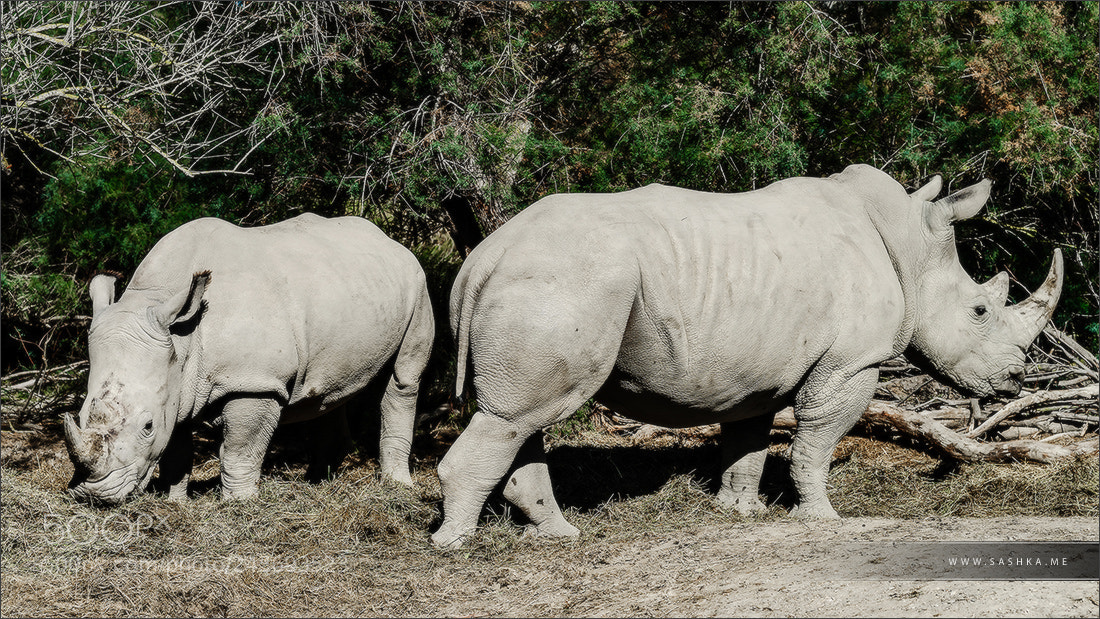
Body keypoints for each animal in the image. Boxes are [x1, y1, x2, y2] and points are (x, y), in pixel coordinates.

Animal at [64, 213, 435, 505]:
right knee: (330, 391)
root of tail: (389, 240)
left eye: (147, 426)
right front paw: (175, 501)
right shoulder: (176, 384)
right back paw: (316, 484)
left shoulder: (256, 381)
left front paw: (239, 503)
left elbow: (240, 449)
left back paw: (396, 487)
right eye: (80, 415)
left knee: (403, 379)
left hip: (417, 283)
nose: (95, 495)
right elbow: (176, 448)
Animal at [431, 164, 1063, 547]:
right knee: (518, 415)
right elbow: (815, 441)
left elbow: (749, 442)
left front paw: (740, 512)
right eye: (979, 312)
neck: (908, 246)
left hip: (546, 283)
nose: (1014, 380)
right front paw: (822, 518)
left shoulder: (758, 368)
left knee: (517, 417)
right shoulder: (852, 363)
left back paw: (558, 535)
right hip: (561, 283)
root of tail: (481, 258)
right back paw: (456, 546)